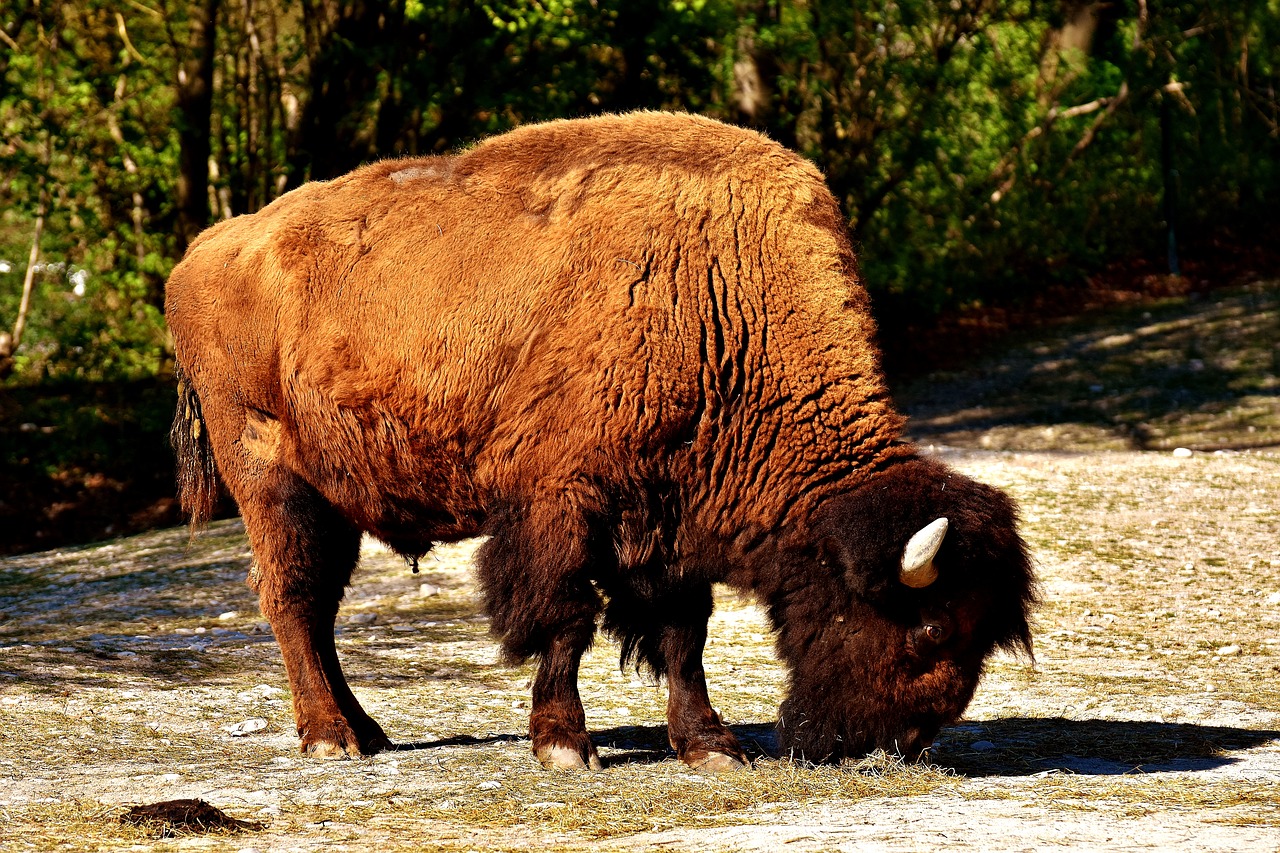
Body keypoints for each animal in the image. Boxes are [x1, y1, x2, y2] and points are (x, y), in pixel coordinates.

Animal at [165, 109, 1034, 768]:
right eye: (928, 628)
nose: (898, 742)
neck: (716, 296)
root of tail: (203, 253)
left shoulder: (670, 521)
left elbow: (682, 632)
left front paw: (711, 745)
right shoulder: (563, 506)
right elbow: (567, 617)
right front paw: (563, 745)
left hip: (334, 499)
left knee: (317, 608)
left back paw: (367, 731)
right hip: (274, 485)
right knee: (294, 598)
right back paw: (331, 738)